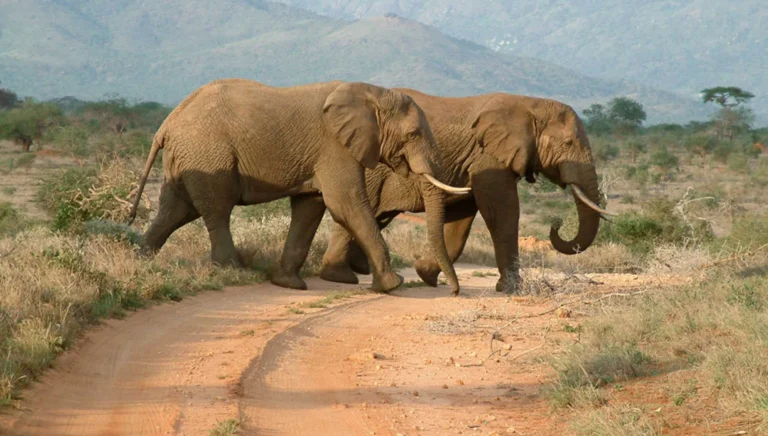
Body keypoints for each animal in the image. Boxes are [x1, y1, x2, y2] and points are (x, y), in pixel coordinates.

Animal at [127, 79, 471, 293]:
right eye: (413, 134)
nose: (453, 292)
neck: (372, 92)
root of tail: (166, 125)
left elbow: (310, 208)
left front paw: (288, 284)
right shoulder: (335, 147)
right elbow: (346, 203)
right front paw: (393, 284)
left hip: (186, 157)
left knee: (174, 211)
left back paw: (140, 260)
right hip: (209, 154)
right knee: (216, 209)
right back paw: (233, 269)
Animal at [317, 89, 614, 294]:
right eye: (568, 143)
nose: (556, 224)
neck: (530, 103)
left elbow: (461, 222)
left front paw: (425, 274)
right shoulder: (487, 157)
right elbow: (502, 212)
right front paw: (511, 289)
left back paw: (356, 271)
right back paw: (342, 276)